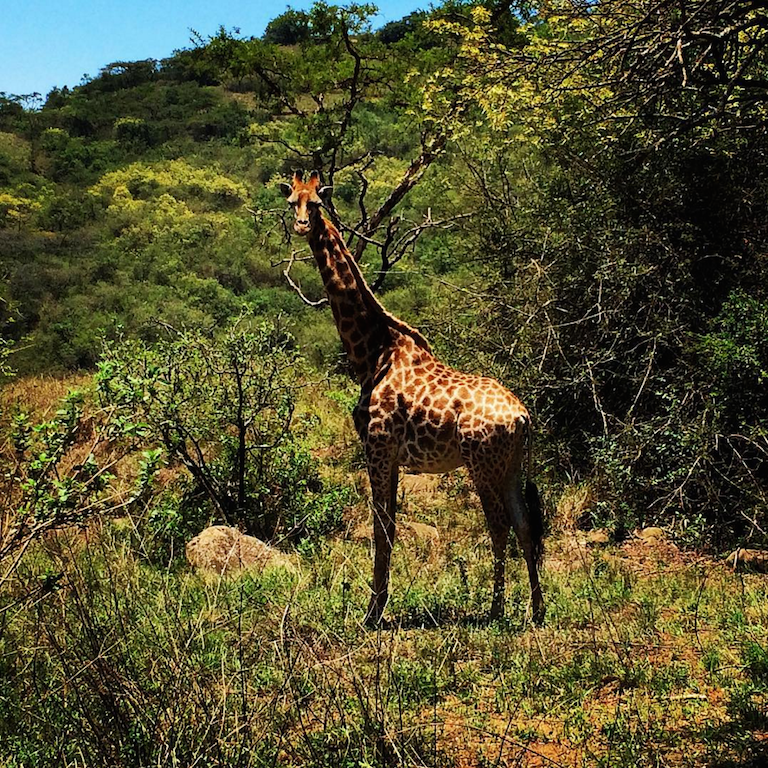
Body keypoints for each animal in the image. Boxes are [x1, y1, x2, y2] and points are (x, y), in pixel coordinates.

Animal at [280, 171, 544, 628]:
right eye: (292, 199)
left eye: (315, 203)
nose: (300, 225)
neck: (372, 352)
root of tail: (523, 417)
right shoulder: (391, 455)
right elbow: (389, 526)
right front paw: (377, 606)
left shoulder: (378, 445)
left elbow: (381, 527)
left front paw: (372, 612)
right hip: (510, 466)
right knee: (525, 526)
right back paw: (537, 610)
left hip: (482, 463)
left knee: (499, 527)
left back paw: (495, 611)